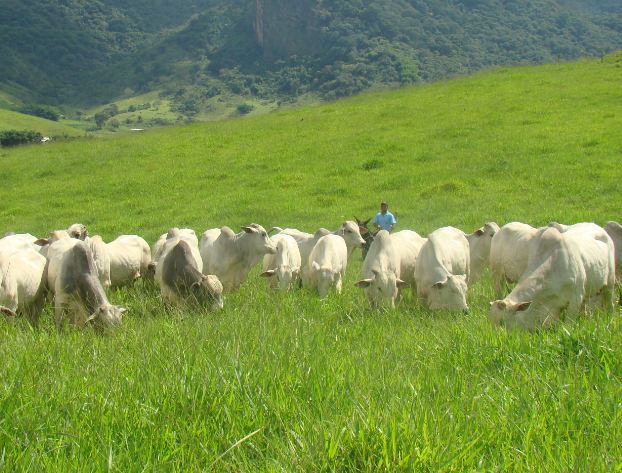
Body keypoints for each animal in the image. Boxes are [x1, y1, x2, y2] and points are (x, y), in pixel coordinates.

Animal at [492, 223, 620, 330]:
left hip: (609, 284)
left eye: (502, 322)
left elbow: (568, 324)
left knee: (610, 305)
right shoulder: (555, 307)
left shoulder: (576, 298)